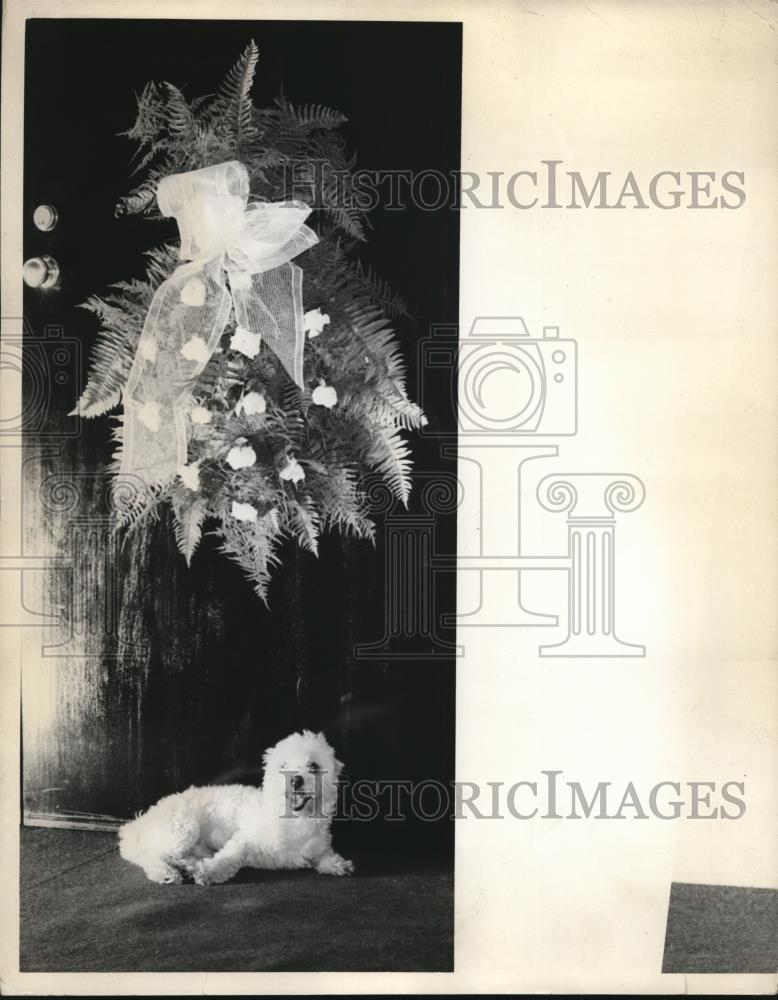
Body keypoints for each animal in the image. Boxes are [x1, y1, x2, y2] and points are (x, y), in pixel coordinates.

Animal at [118, 732, 354, 888]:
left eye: (313, 766)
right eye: (283, 766)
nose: (295, 780)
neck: (295, 819)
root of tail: (138, 824)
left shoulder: (317, 847)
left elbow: (323, 857)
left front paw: (337, 864)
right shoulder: (243, 839)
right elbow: (229, 856)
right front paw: (209, 872)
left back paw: (187, 865)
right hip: (183, 829)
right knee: (147, 854)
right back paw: (165, 872)